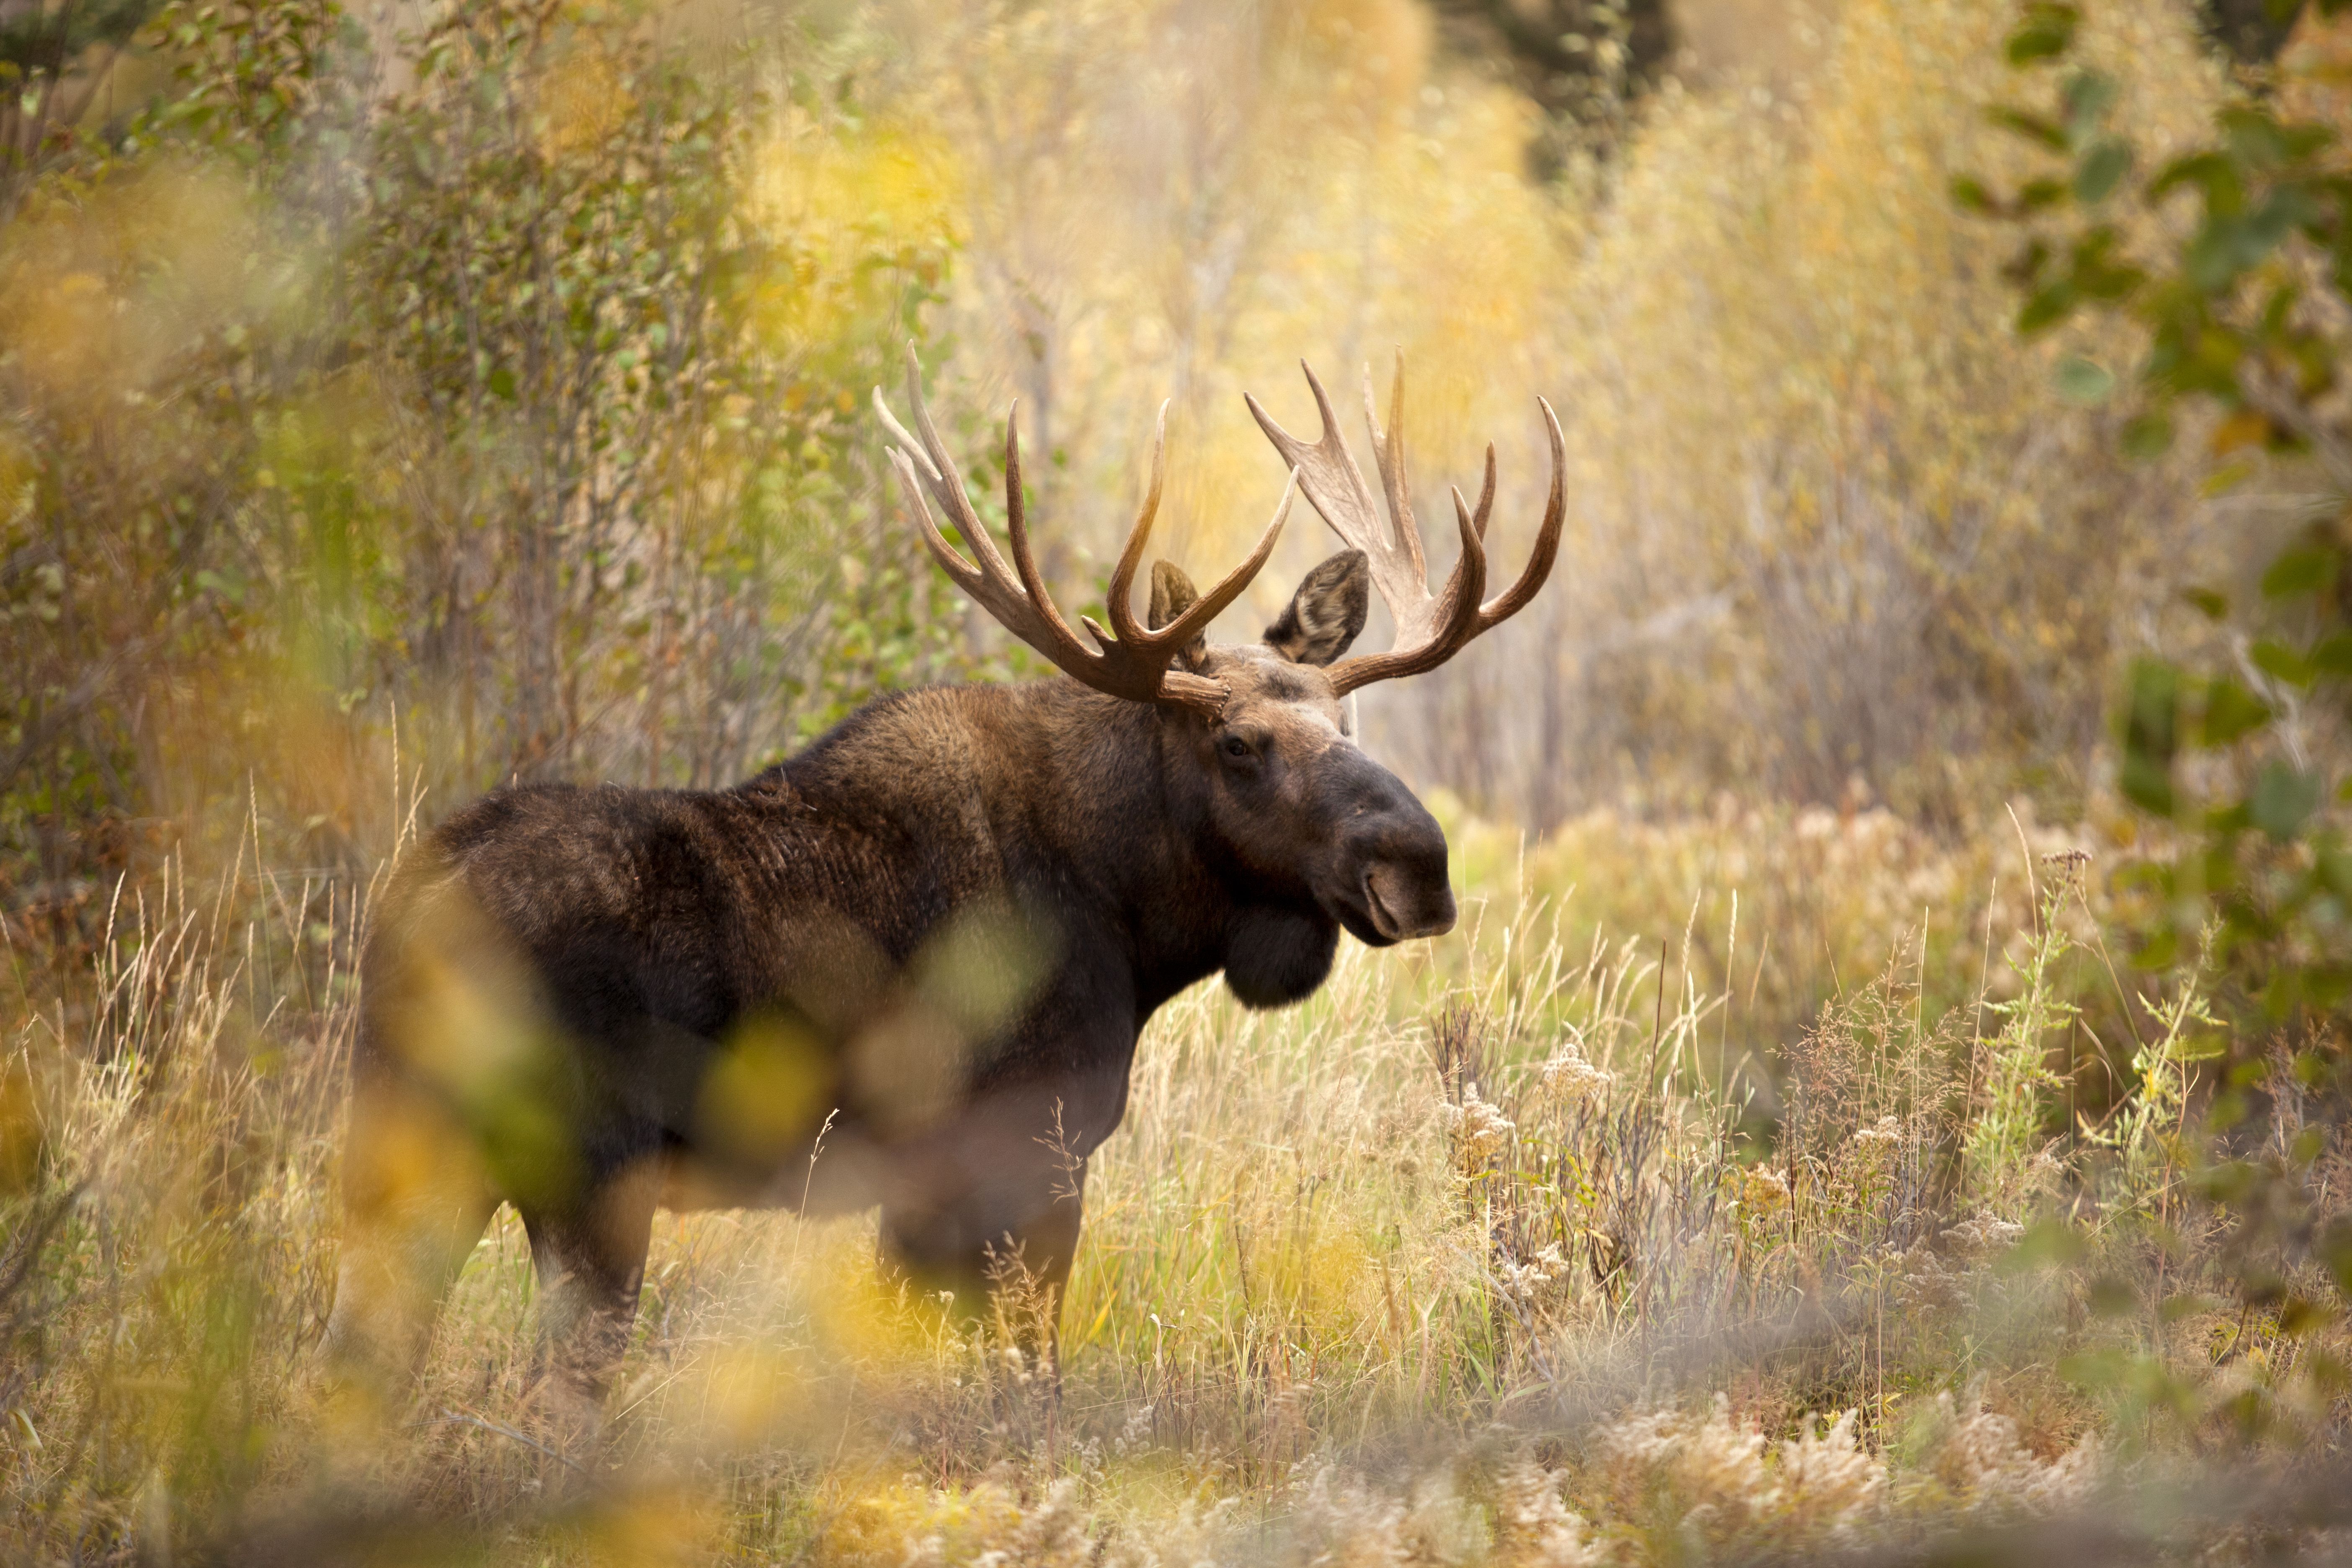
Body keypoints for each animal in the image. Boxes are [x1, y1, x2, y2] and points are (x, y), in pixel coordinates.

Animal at [317, 355, 1562, 1439]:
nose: (1418, 863)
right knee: (547, 1398)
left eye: (1347, 719)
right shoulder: (1024, 1150)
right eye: (1241, 742)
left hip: (404, 1154)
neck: (1132, 912)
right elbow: (1020, 1378)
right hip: (587, 1179)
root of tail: (410, 913)